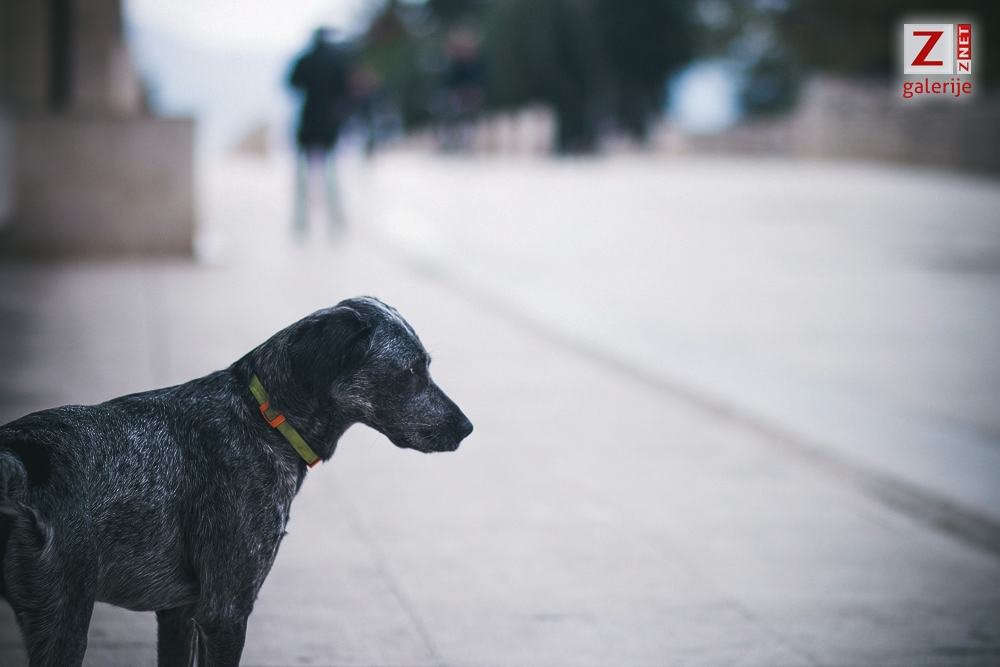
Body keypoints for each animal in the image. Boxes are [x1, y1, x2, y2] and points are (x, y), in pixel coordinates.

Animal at [0, 296, 472, 667]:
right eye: (411, 371)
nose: (467, 428)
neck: (261, 419)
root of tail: (17, 463)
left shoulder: (178, 612)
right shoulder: (224, 613)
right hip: (64, 622)